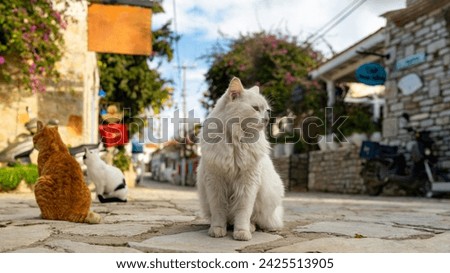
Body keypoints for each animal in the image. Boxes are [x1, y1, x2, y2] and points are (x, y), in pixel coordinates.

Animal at [198, 76, 284, 240]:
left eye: (267, 110)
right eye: (255, 108)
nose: (267, 118)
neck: (236, 141)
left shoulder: (248, 183)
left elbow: (243, 212)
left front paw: (242, 233)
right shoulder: (215, 182)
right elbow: (218, 212)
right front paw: (217, 230)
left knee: (254, 219)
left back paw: (250, 228)